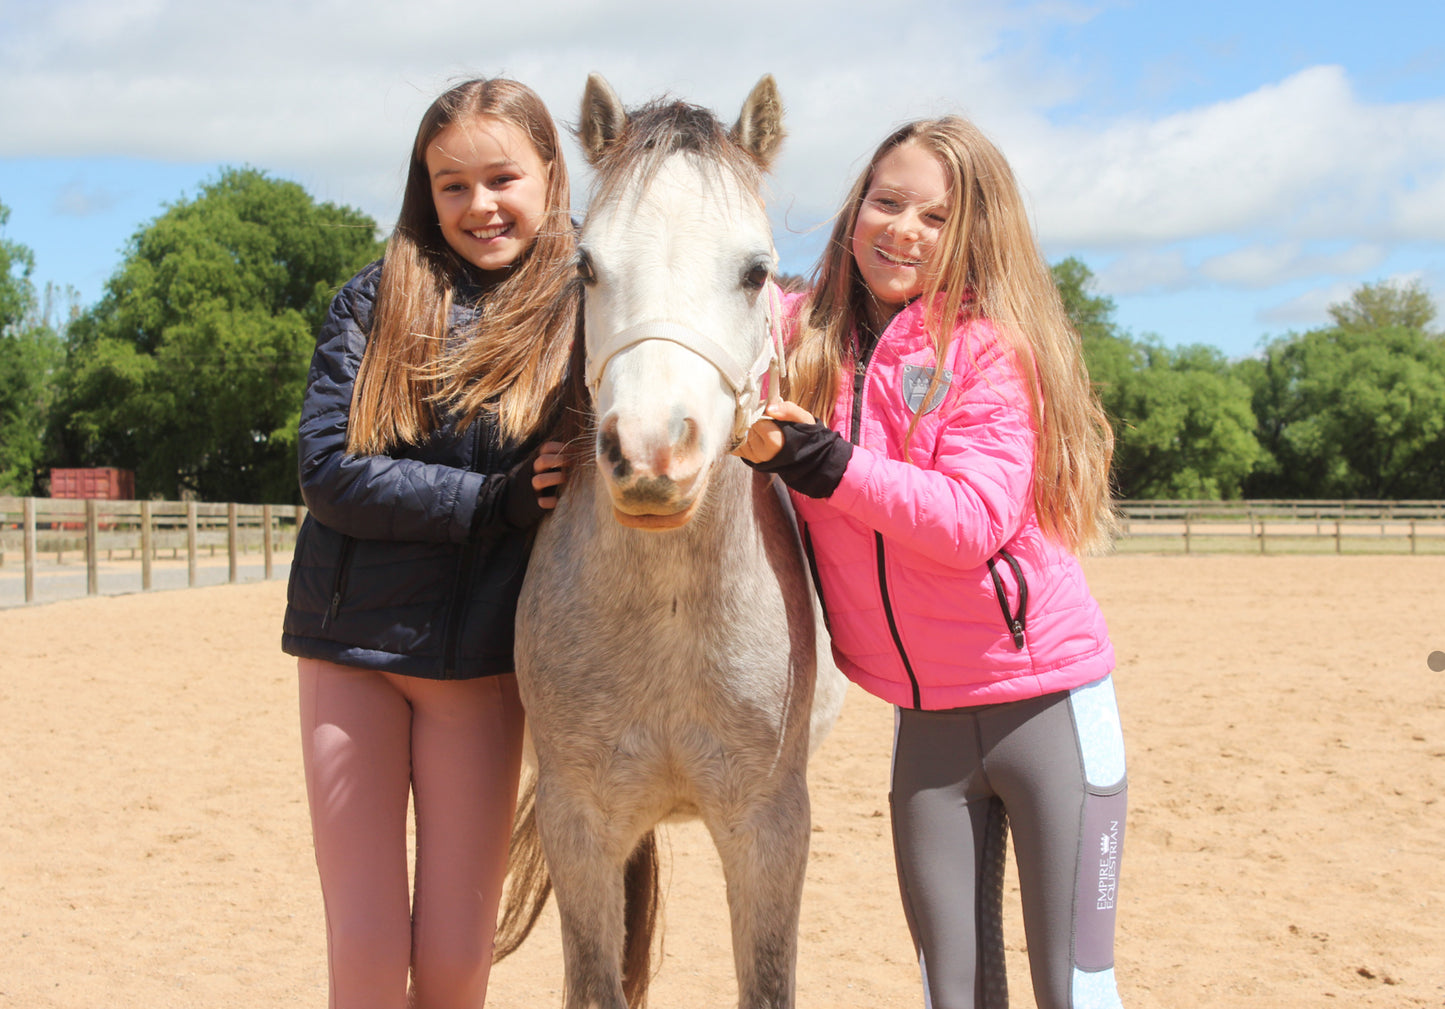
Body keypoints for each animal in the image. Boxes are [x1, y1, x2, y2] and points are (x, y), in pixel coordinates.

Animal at [496, 74, 846, 1009]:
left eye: (755, 271)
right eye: (586, 265)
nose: (654, 452)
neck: (669, 621)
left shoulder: (770, 832)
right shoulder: (580, 829)